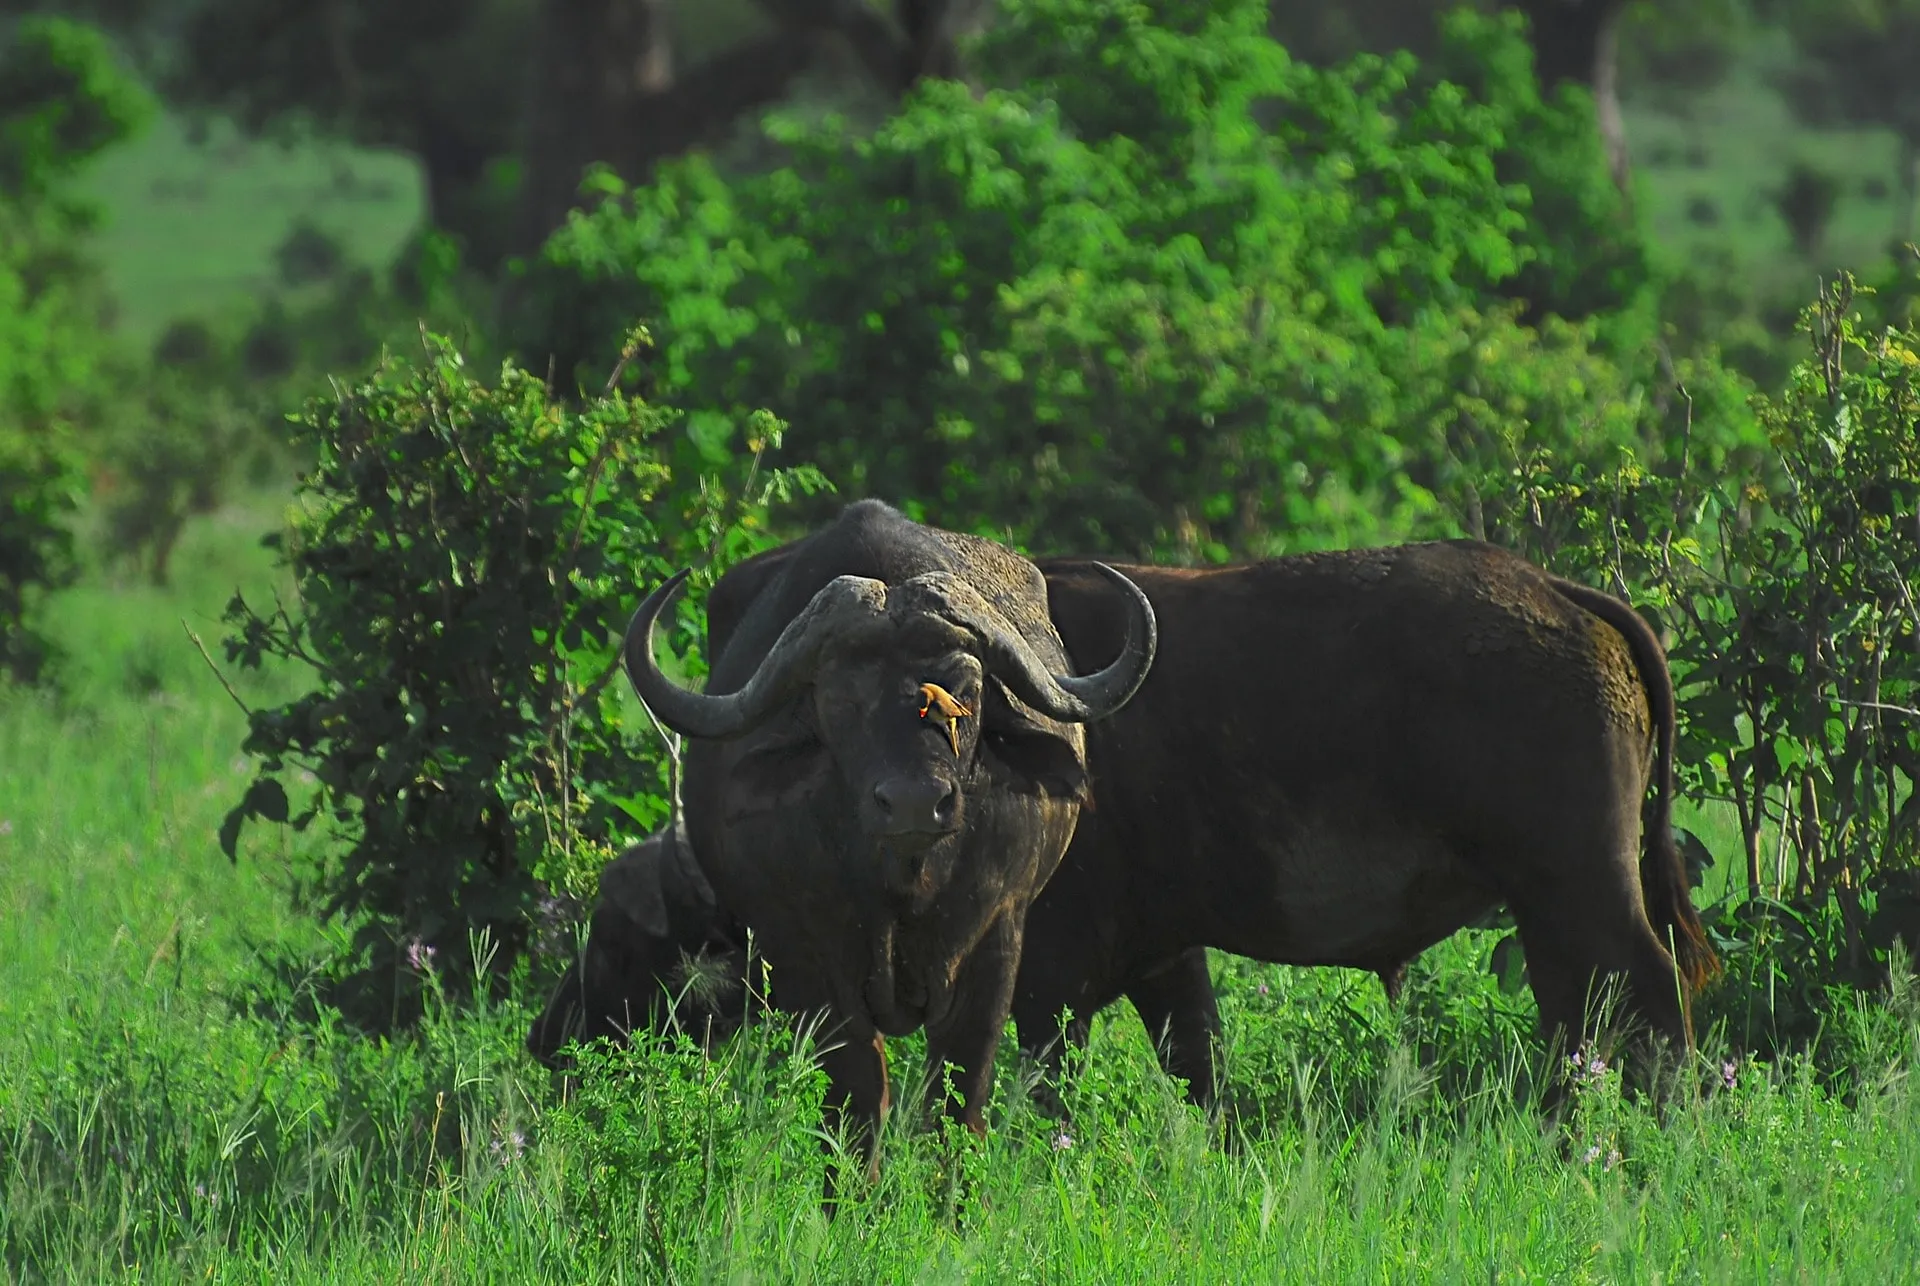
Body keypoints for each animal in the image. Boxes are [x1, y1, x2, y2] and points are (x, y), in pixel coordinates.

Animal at [622, 499, 1152, 1182]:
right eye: (840, 701)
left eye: (966, 690)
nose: (913, 803)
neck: (906, 881)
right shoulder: (809, 958)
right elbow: (857, 1100)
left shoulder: (997, 942)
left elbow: (958, 1101)